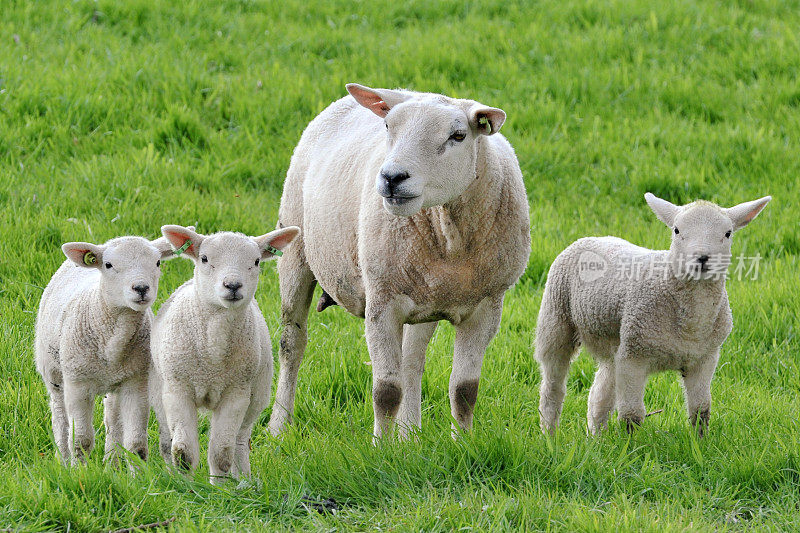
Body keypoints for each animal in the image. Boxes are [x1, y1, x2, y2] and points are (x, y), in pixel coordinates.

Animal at [34, 235, 175, 464]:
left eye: (157, 262)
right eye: (108, 265)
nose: (141, 288)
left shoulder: (136, 382)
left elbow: (136, 445)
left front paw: (138, 473)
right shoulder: (77, 384)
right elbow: (81, 441)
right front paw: (79, 470)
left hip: (117, 383)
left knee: (113, 420)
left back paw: (112, 463)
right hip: (53, 372)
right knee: (60, 417)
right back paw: (62, 459)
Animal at [150, 222, 296, 484]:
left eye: (256, 261)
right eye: (205, 258)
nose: (233, 286)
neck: (213, 356)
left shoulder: (236, 393)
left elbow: (221, 453)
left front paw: (220, 487)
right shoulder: (178, 388)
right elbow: (183, 452)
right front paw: (185, 487)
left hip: (256, 395)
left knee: (240, 440)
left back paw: (244, 481)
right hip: (159, 391)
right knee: (168, 440)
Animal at [268, 84, 532, 440]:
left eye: (458, 136)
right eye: (387, 127)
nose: (392, 177)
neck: (450, 236)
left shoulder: (487, 307)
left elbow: (465, 390)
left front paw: (463, 443)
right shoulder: (382, 302)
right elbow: (386, 391)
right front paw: (380, 446)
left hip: (424, 294)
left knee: (412, 360)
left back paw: (410, 434)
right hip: (295, 251)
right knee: (291, 343)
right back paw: (279, 426)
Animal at [536, 193, 772, 434]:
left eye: (727, 233)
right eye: (676, 230)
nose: (702, 258)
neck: (691, 326)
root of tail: (590, 238)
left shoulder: (705, 357)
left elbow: (701, 410)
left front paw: (700, 441)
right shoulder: (634, 356)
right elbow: (631, 416)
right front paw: (629, 445)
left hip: (616, 342)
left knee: (599, 394)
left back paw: (596, 438)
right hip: (556, 318)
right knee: (552, 387)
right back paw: (549, 433)